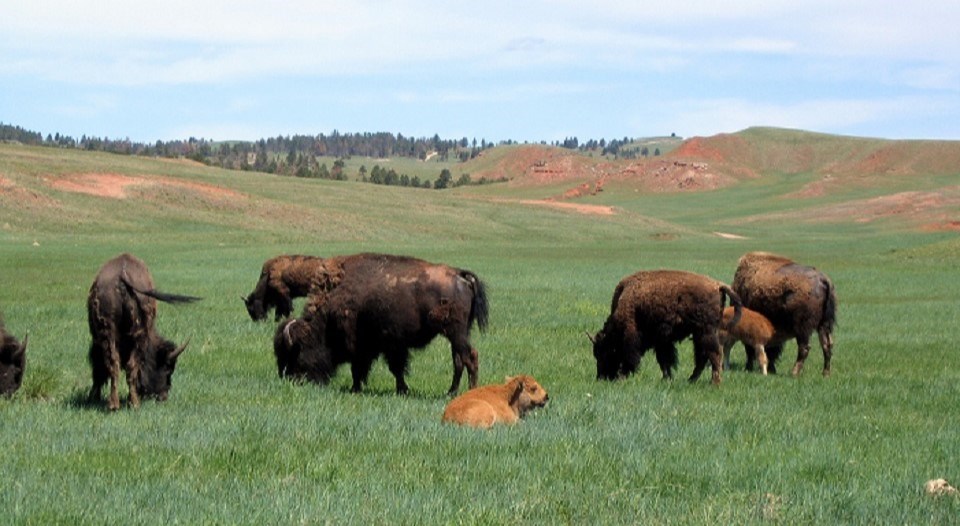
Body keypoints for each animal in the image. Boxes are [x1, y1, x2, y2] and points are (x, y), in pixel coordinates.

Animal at [87, 256, 200, 412]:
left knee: (117, 366)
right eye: (168, 369)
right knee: (123, 366)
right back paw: (128, 404)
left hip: (113, 334)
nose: (163, 396)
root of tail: (122, 275)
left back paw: (120, 404)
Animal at [276, 255, 488, 396]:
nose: (290, 380)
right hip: (458, 334)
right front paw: (400, 390)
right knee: (459, 361)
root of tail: (460, 275)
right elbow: (392, 369)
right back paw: (451, 392)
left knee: (470, 357)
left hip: (456, 333)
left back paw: (470, 392)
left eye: (294, 353)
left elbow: (370, 368)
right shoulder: (389, 347)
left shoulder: (370, 346)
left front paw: (357, 389)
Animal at [584, 270, 744, 386]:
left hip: (705, 333)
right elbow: (665, 360)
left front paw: (622, 377)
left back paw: (714, 383)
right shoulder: (662, 342)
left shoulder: (633, 337)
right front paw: (666, 379)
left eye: (605, 352)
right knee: (702, 357)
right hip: (700, 335)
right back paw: (691, 380)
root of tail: (717, 285)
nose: (601, 377)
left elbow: (633, 358)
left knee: (714, 354)